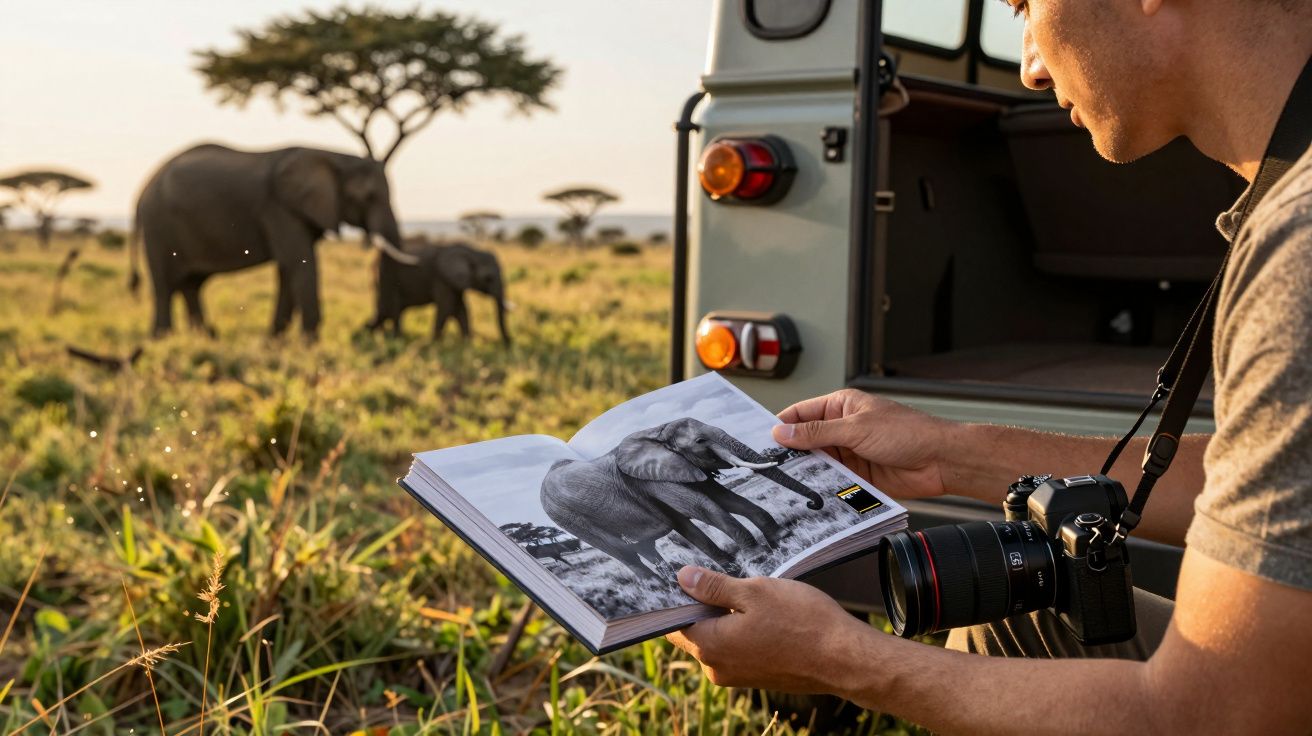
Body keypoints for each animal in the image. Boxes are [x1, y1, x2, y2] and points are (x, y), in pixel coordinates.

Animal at [129, 143, 418, 339]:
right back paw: (163, 339)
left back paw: (205, 337)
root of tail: (142, 190)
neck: (333, 156)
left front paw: (275, 341)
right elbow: (299, 262)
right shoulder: (279, 209)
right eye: (368, 197)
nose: (368, 327)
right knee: (165, 285)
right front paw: (310, 344)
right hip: (158, 226)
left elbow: (289, 268)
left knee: (192, 285)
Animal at [366, 239, 510, 344]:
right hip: (386, 280)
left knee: (383, 312)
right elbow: (447, 308)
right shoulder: (442, 278)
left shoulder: (455, 282)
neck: (472, 251)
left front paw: (467, 345)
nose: (508, 344)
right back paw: (393, 339)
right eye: (488, 278)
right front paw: (435, 344)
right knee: (391, 310)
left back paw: (370, 332)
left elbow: (461, 310)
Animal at [539, 417, 824, 583]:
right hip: (568, 518)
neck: (657, 433)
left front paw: (781, 539)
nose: (813, 504)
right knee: (622, 551)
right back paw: (658, 588)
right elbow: (702, 507)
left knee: (647, 546)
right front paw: (758, 557)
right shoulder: (651, 479)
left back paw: (676, 581)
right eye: (700, 440)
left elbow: (725, 499)